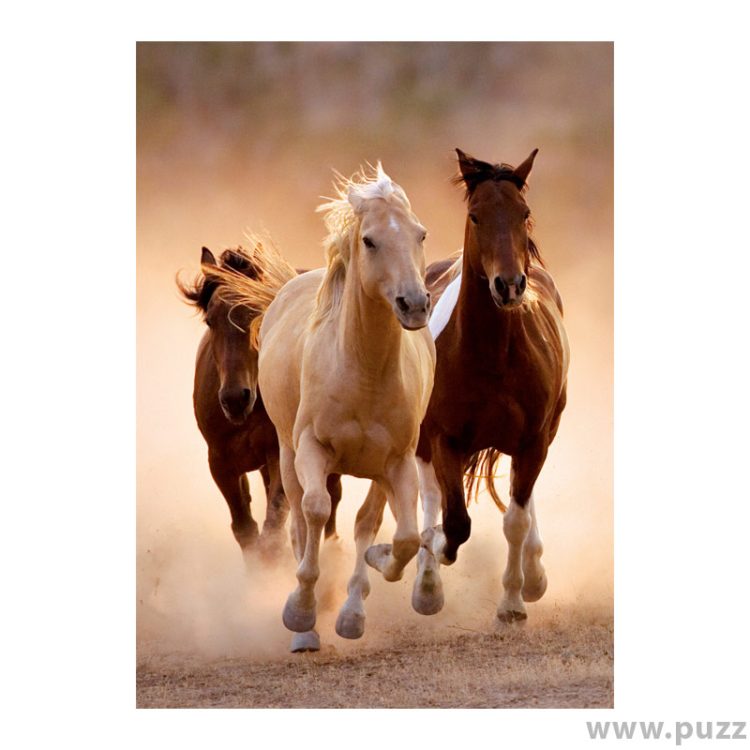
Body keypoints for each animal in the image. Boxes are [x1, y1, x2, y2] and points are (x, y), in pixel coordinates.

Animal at [177, 245, 343, 566]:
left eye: (257, 313)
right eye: (210, 320)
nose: (234, 398)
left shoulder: (279, 454)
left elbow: (273, 526)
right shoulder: (221, 462)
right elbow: (245, 529)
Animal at [219, 164, 436, 648]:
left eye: (421, 234)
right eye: (369, 240)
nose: (414, 304)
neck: (363, 372)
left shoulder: (397, 462)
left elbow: (401, 536)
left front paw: (372, 572)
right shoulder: (311, 449)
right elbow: (314, 512)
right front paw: (300, 612)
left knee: (363, 521)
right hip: (285, 455)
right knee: (300, 521)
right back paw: (306, 630)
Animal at [410, 148, 570, 624]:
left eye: (524, 213)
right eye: (476, 215)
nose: (510, 285)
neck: (493, 355)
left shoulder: (534, 439)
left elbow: (515, 518)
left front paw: (514, 600)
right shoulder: (444, 438)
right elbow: (454, 522)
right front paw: (434, 553)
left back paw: (533, 575)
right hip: (423, 439)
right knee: (429, 495)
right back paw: (426, 583)